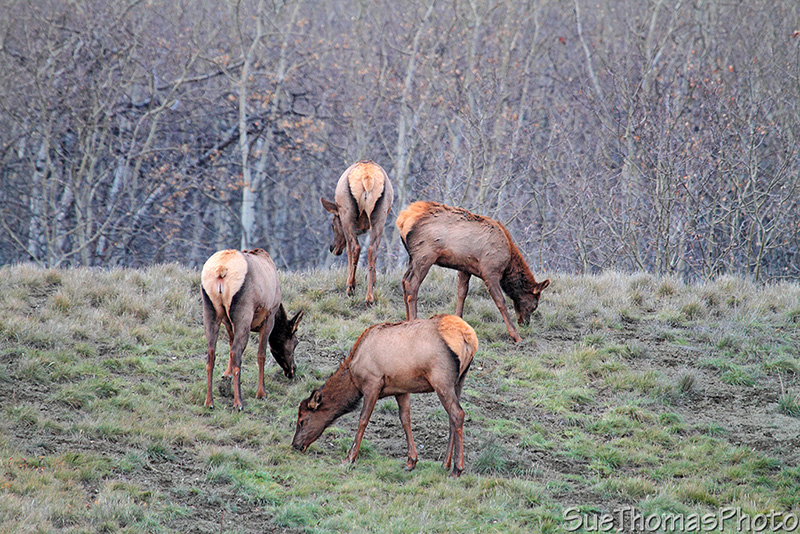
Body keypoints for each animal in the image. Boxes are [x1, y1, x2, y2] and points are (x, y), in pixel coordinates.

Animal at [201, 248, 303, 411]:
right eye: (295, 342)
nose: (292, 370)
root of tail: (222, 270)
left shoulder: (228, 322)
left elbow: (230, 344)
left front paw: (226, 375)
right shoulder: (269, 316)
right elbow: (261, 354)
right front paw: (261, 393)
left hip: (210, 309)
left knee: (211, 354)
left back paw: (209, 402)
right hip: (244, 311)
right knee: (237, 354)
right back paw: (238, 403)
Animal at [292, 314, 478, 478]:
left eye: (302, 420)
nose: (295, 445)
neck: (353, 375)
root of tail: (469, 338)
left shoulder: (373, 383)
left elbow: (363, 420)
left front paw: (349, 458)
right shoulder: (401, 389)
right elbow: (405, 419)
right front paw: (411, 461)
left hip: (441, 379)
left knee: (458, 414)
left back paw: (457, 469)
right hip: (459, 380)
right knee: (452, 418)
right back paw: (445, 464)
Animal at [320, 160, 394, 306]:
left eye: (332, 225)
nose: (332, 247)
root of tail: (367, 178)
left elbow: (349, 250)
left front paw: (348, 282)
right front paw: (374, 281)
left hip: (348, 213)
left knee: (355, 247)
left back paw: (351, 287)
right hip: (380, 215)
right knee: (372, 250)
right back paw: (369, 297)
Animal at [396, 201, 550, 343]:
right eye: (534, 305)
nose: (525, 323)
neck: (508, 263)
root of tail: (402, 220)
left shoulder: (465, 268)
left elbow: (461, 294)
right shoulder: (490, 271)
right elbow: (501, 302)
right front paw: (516, 336)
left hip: (413, 257)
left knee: (404, 281)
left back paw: (406, 321)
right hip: (425, 254)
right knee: (412, 284)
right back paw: (414, 321)